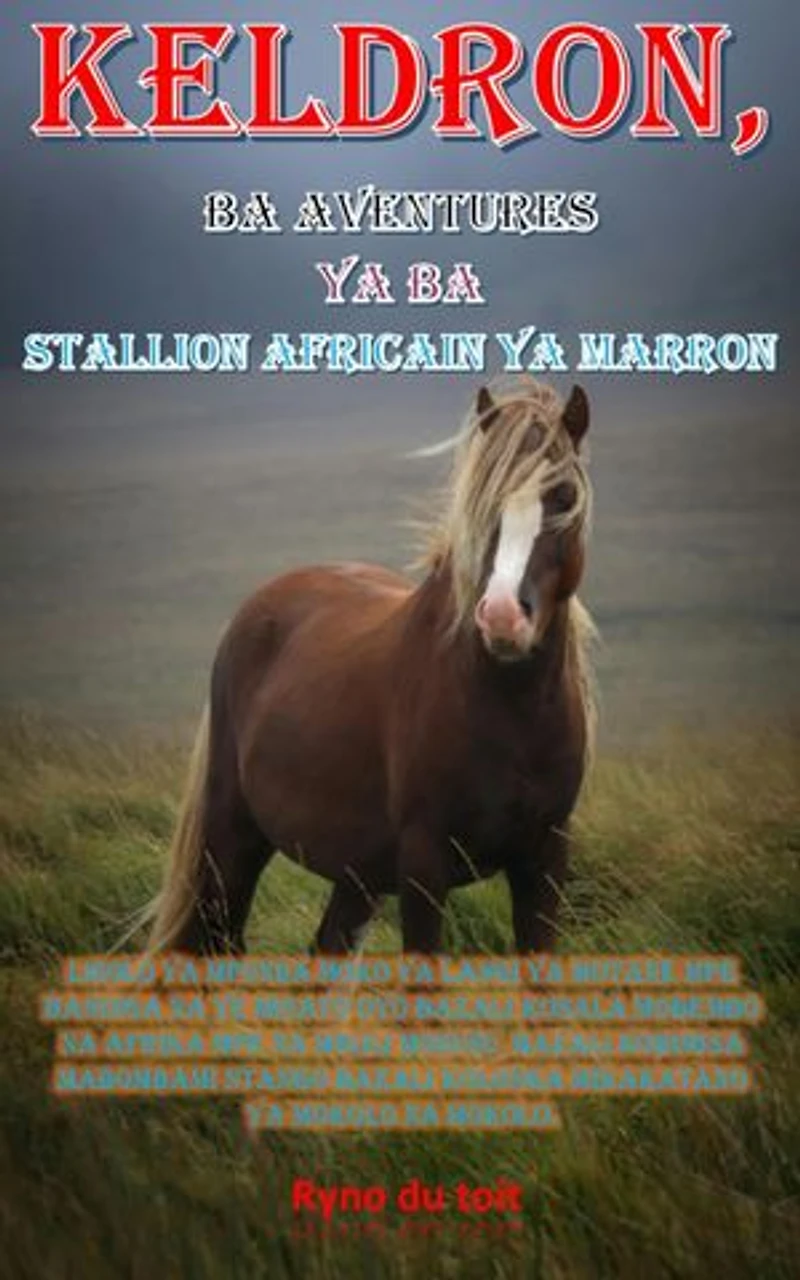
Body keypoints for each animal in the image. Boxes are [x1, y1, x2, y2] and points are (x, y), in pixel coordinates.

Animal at [147, 376, 596, 958]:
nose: (501, 617)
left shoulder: (544, 859)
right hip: (232, 839)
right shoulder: (424, 862)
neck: (509, 712)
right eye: (482, 501)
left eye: (563, 497)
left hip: (358, 871)